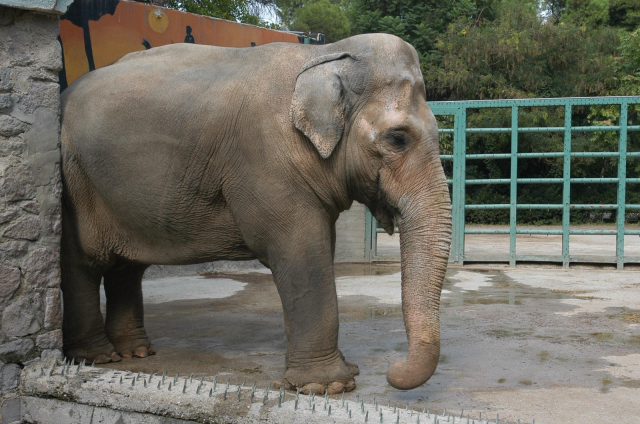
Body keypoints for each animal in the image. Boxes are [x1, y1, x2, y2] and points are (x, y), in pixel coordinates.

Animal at [58, 33, 450, 394]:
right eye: (397, 138)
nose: (391, 370)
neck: (321, 54)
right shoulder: (265, 159)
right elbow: (301, 251)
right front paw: (329, 386)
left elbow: (314, 250)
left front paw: (322, 379)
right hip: (74, 179)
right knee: (82, 262)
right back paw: (97, 357)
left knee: (126, 266)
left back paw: (135, 353)